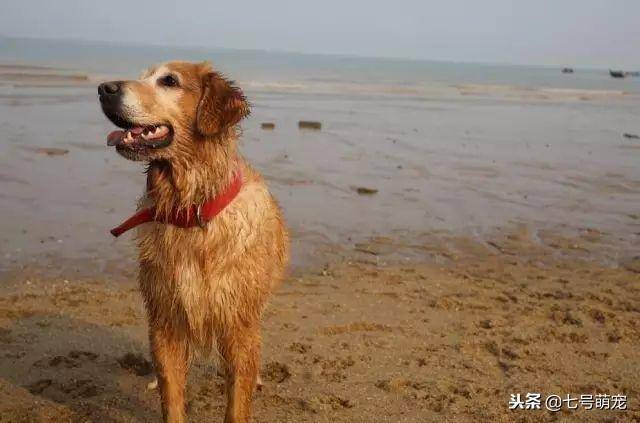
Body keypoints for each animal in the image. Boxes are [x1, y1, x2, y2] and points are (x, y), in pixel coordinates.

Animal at [98, 61, 289, 422]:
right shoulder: (165, 318)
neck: (190, 210)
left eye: (169, 81)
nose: (104, 88)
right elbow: (172, 397)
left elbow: (236, 403)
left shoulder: (238, 323)